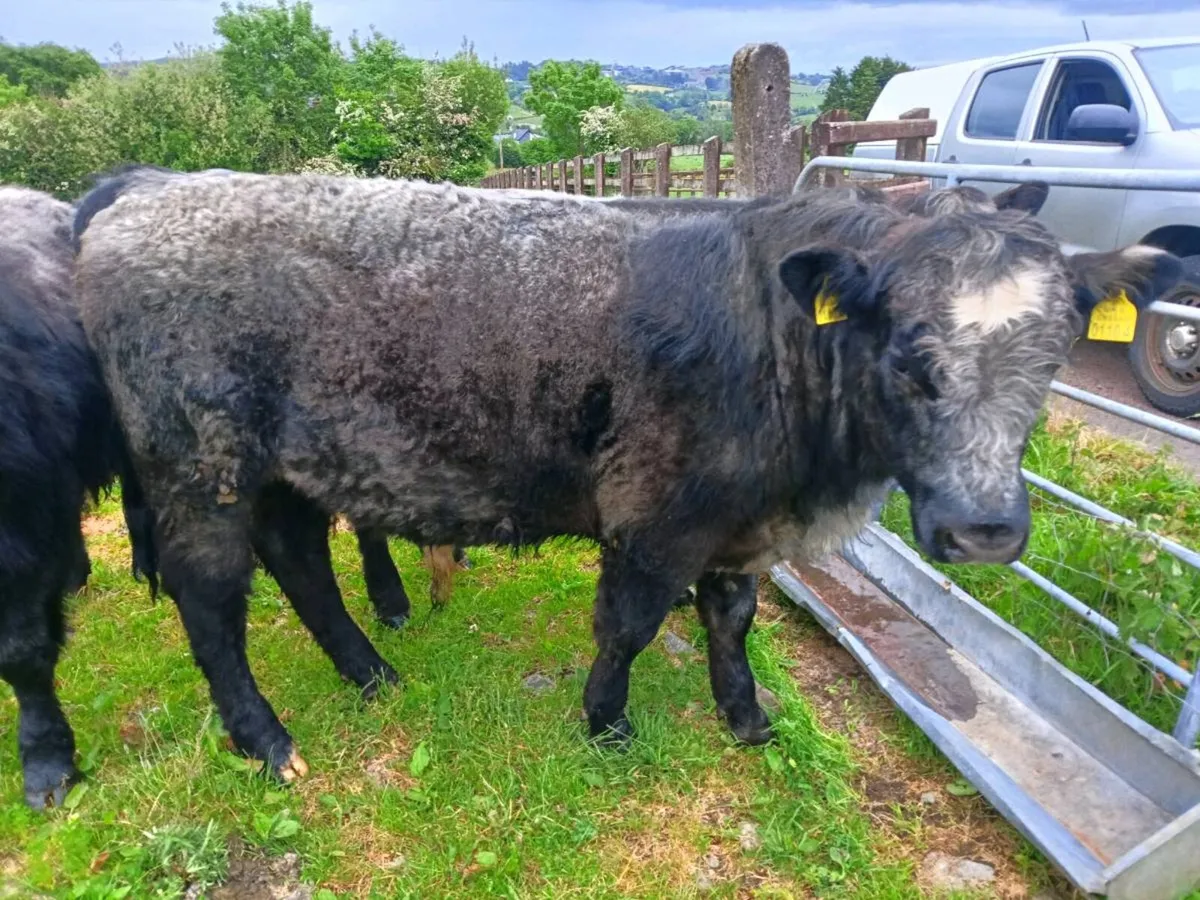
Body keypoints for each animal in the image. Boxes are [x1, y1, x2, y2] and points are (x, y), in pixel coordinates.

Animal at [72, 168, 1181, 781]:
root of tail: (153, 186)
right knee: (213, 603)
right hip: (200, 468)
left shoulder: (738, 526)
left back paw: (371, 672)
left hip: (283, 469)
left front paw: (747, 720)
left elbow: (730, 622)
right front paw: (606, 724)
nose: (986, 531)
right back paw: (268, 742)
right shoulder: (656, 517)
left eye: (1054, 357)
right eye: (909, 355)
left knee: (300, 558)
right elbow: (632, 626)